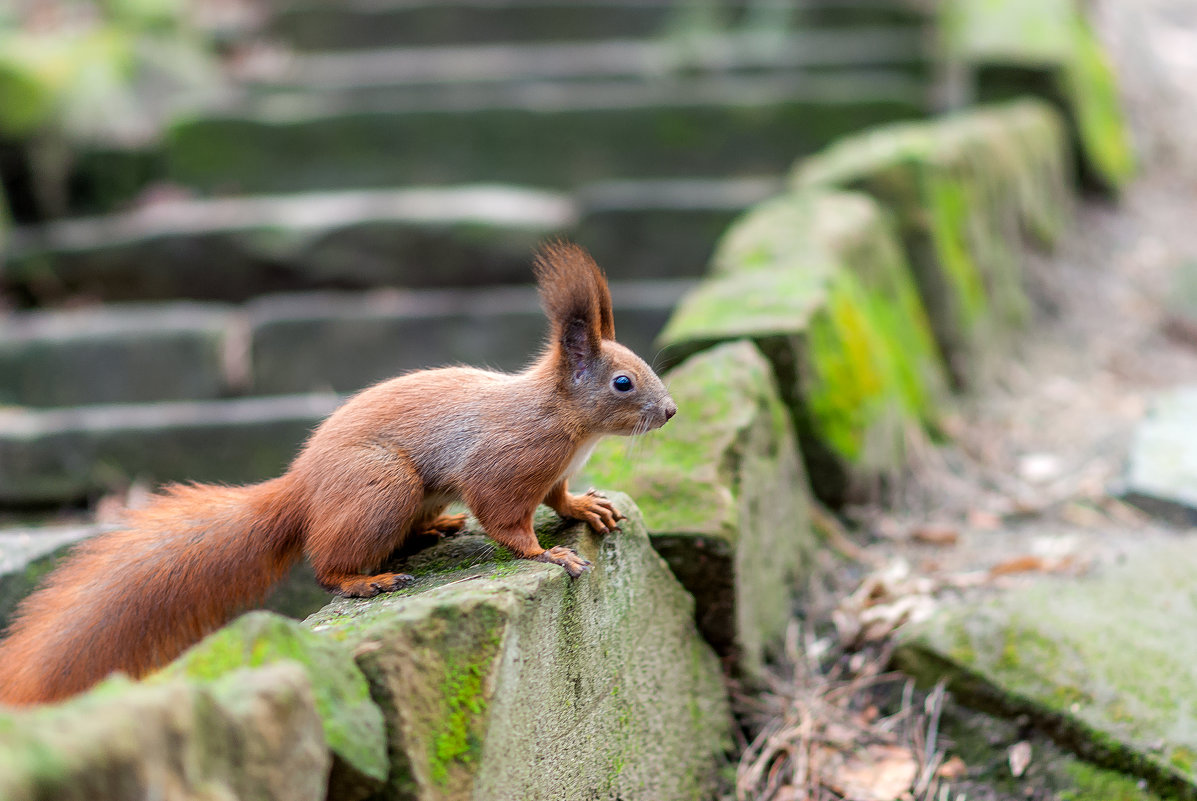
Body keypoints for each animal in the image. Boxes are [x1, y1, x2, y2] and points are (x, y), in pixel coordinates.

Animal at [0, 240, 675, 704]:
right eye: (623, 382)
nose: (669, 411)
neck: (566, 421)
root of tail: (300, 490)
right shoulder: (506, 464)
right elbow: (506, 520)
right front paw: (547, 555)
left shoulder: (552, 472)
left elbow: (558, 497)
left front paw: (586, 509)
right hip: (383, 487)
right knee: (325, 562)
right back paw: (367, 580)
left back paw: (430, 532)